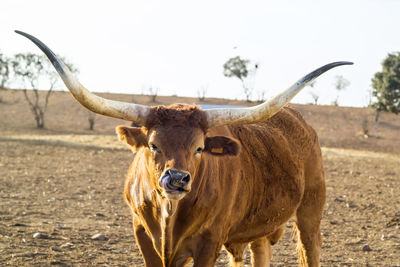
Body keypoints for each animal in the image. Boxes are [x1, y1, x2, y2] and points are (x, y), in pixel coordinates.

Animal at [17, 30, 352, 266]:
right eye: (153, 145)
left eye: (199, 148)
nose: (177, 179)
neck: (169, 214)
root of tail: (297, 119)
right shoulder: (142, 234)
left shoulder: (209, 241)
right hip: (260, 226)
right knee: (258, 253)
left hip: (311, 209)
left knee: (311, 249)